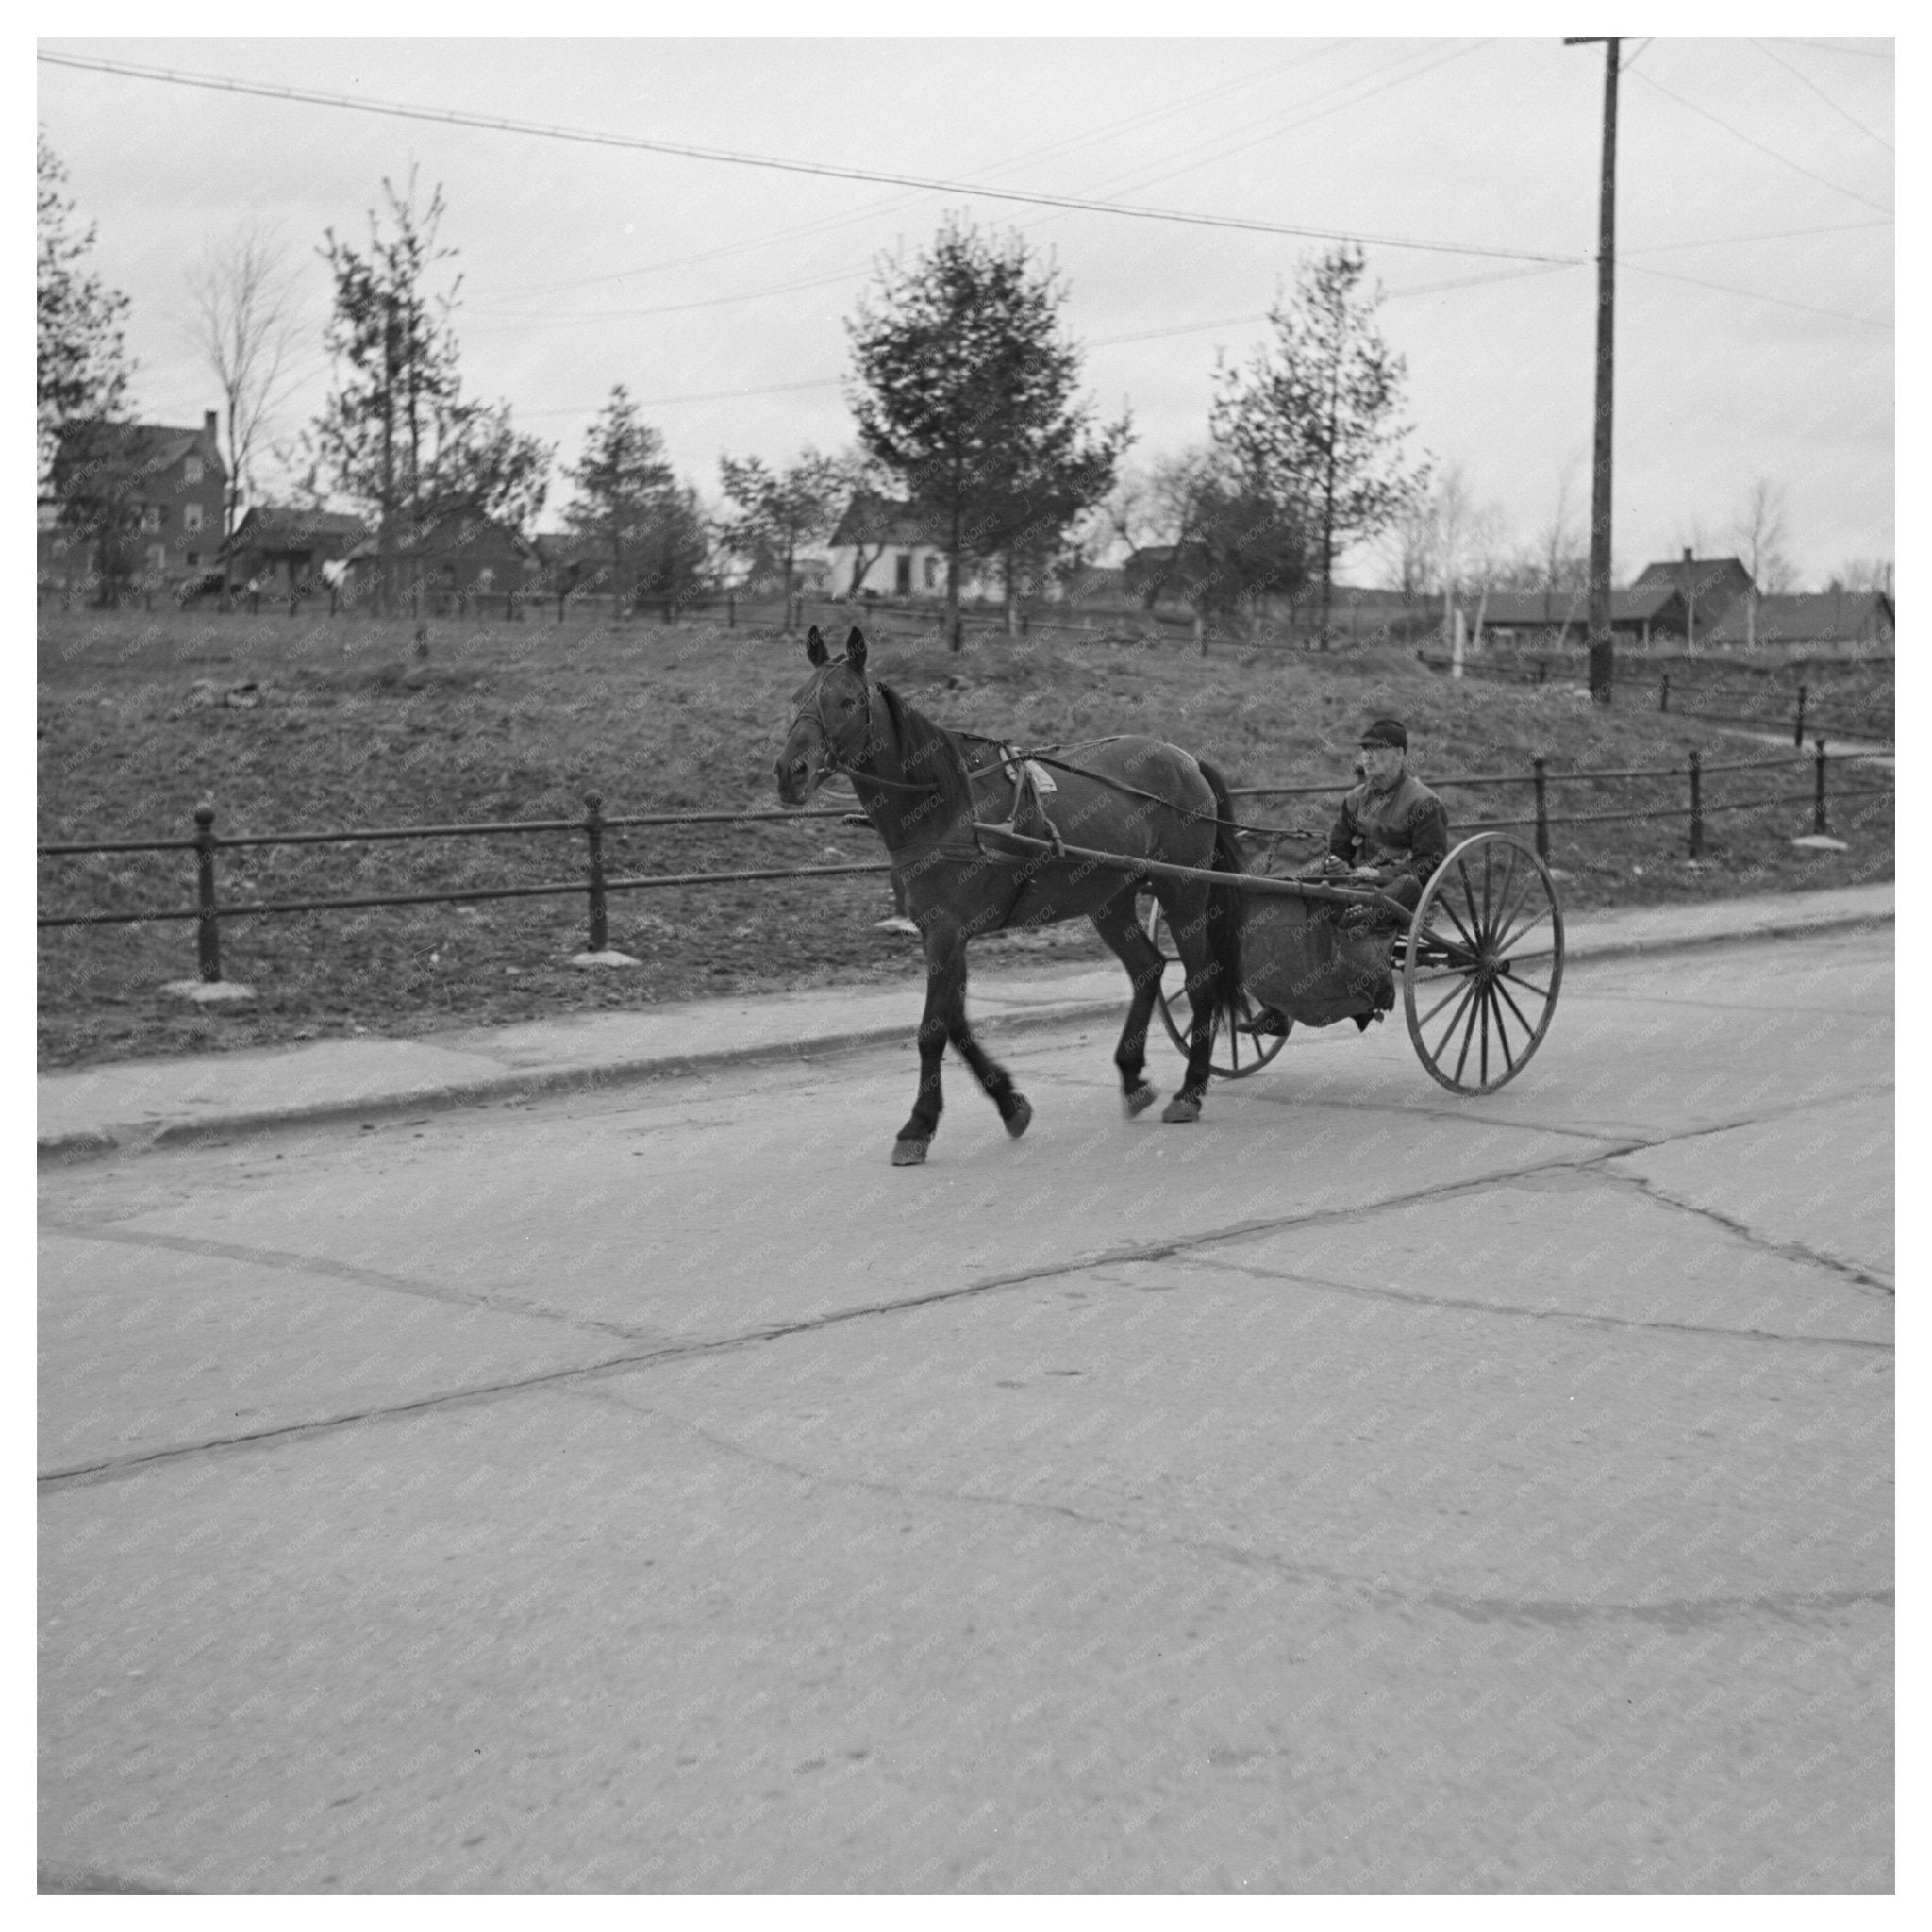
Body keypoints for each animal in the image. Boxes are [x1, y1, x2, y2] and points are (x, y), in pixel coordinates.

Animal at [774, 625, 1248, 1166]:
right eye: (798, 698)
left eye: (848, 700)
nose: (791, 772)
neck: (945, 805)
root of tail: (1184, 758)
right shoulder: (940, 935)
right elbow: (955, 1023)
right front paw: (1008, 1102)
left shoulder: (947, 932)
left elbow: (933, 1030)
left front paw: (918, 1126)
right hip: (1108, 899)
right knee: (1147, 968)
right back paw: (1132, 1076)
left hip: (1183, 887)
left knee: (1201, 980)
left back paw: (1191, 1090)